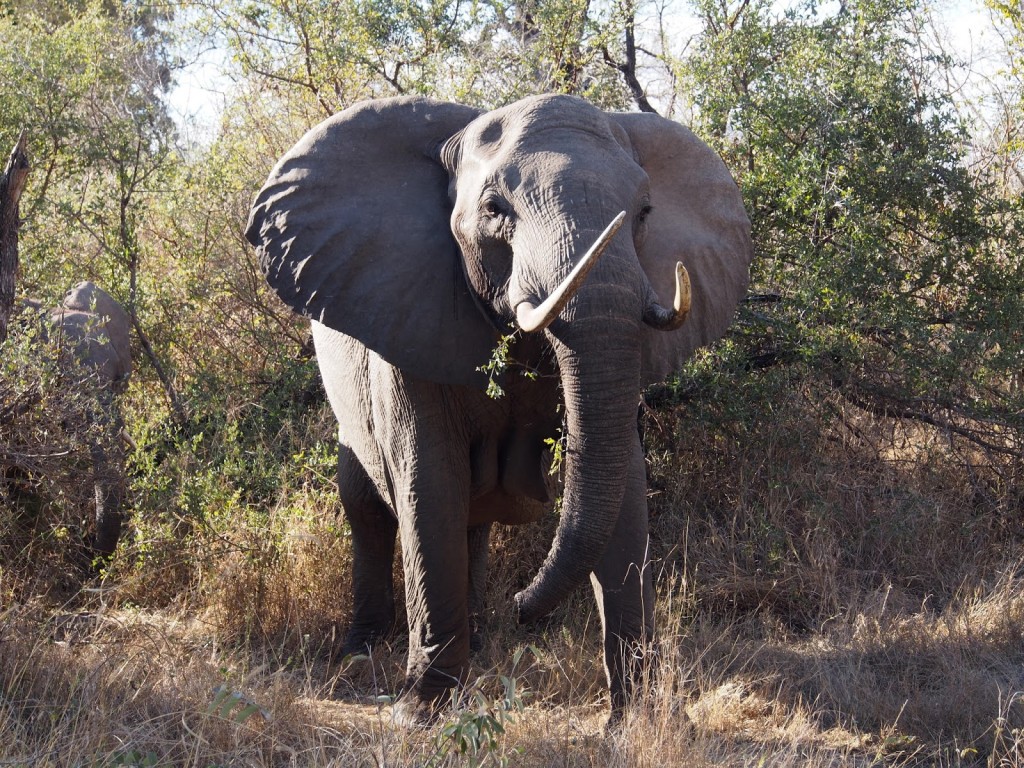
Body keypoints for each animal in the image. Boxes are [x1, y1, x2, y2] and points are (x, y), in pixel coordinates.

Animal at [241, 93, 753, 724]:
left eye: (645, 212)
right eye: (493, 210)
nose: (522, 605)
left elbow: (624, 485)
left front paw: (636, 717)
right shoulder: (407, 322)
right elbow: (430, 484)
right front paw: (420, 713)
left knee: (472, 518)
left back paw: (480, 641)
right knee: (366, 506)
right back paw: (362, 653)